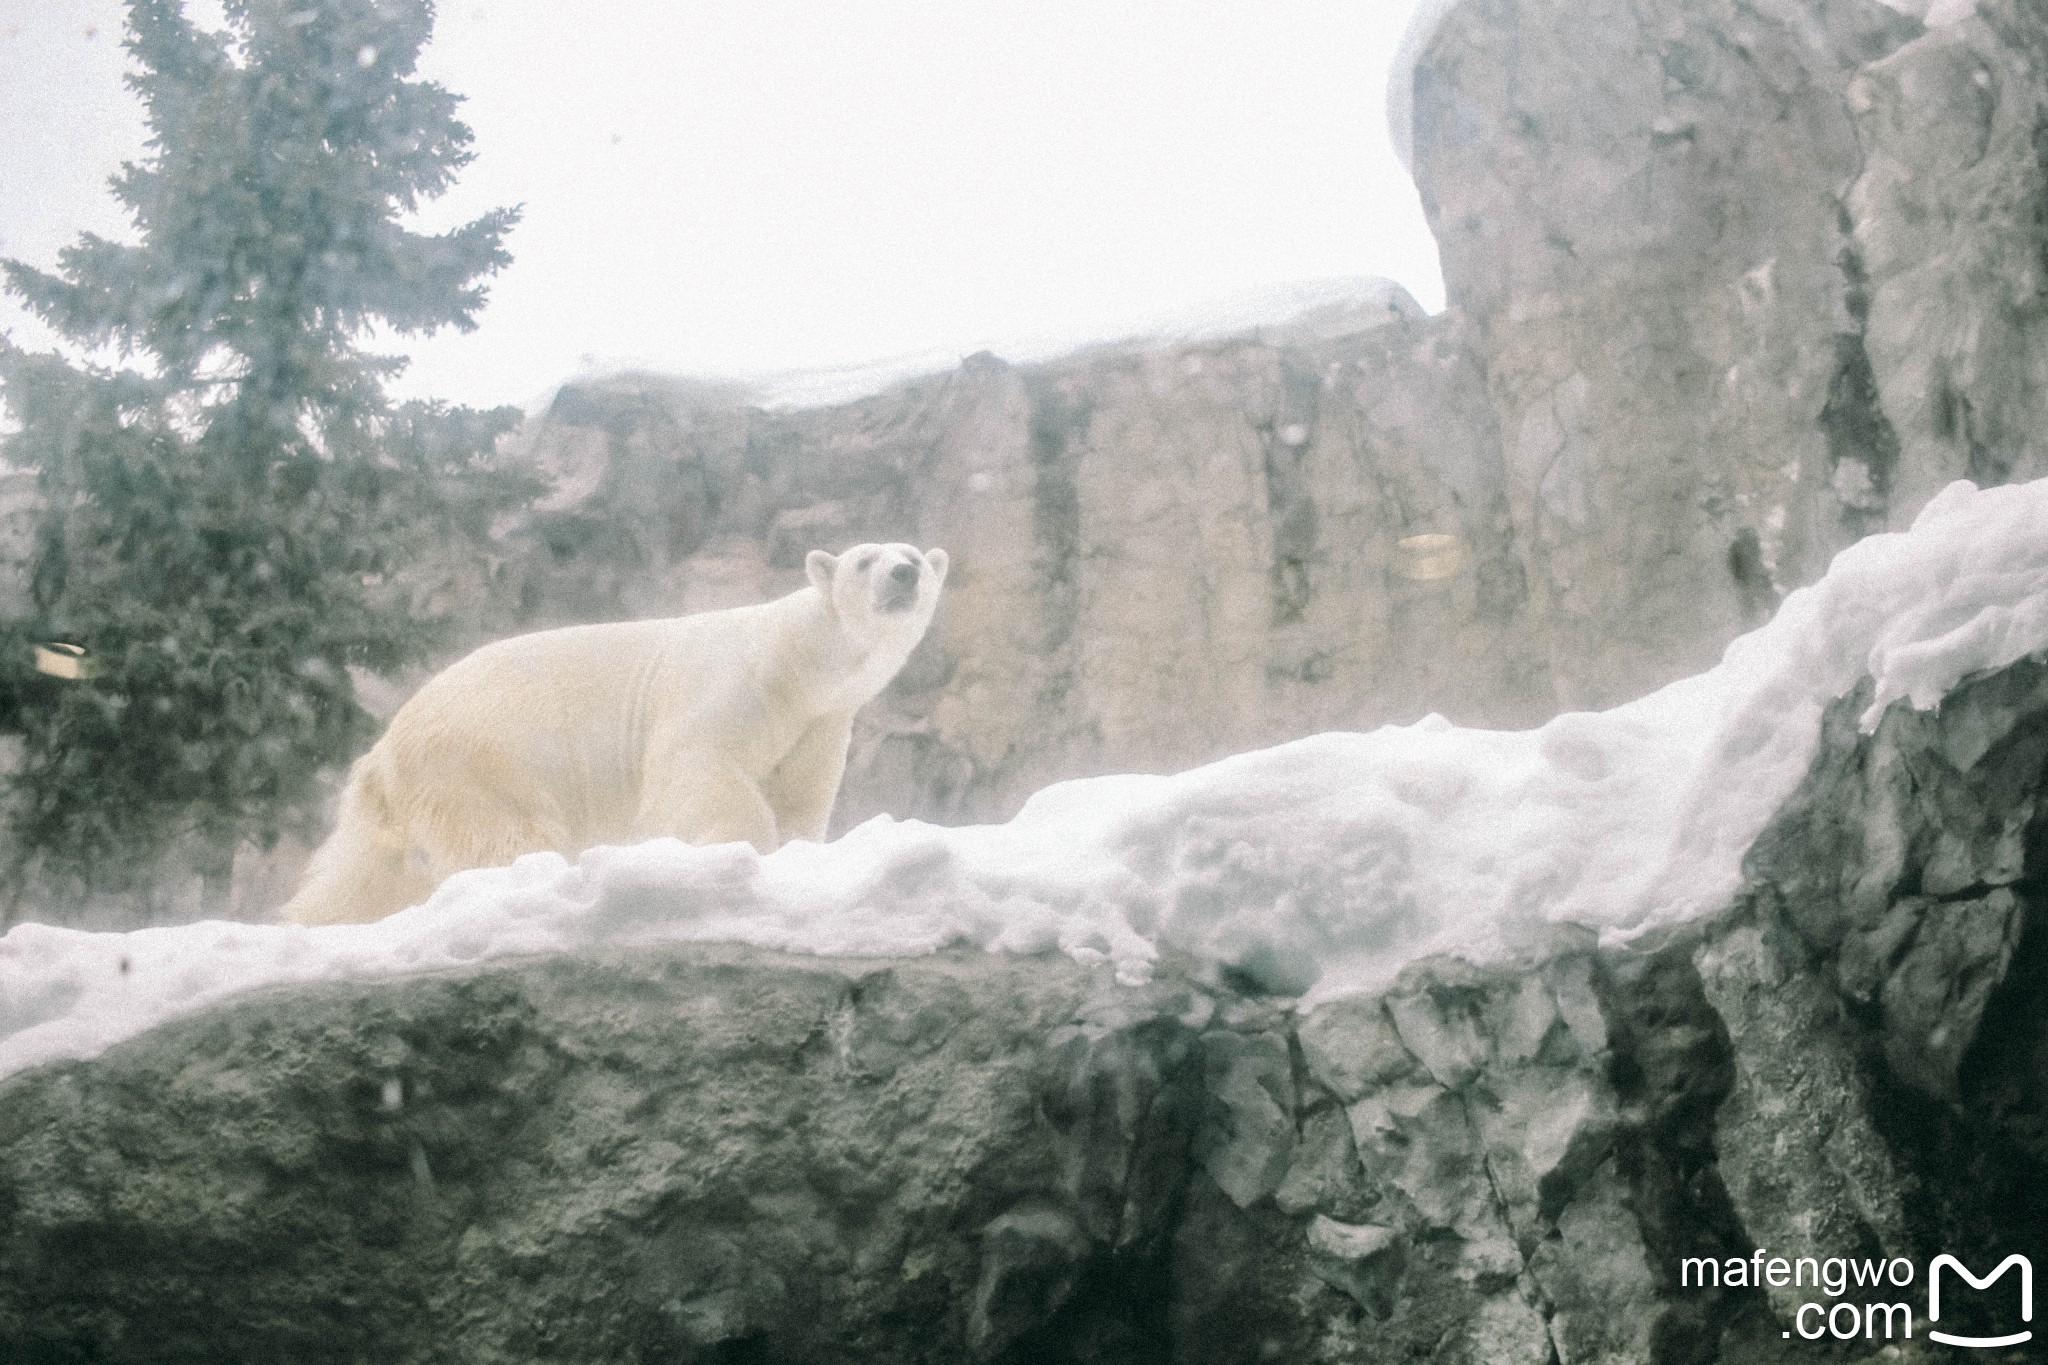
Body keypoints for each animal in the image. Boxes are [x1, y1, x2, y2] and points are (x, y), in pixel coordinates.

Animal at [282, 540, 950, 925]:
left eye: (915, 555)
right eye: (865, 559)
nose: (903, 575)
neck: (799, 661)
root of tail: (384, 748)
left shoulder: (820, 724)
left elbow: (800, 798)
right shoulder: (729, 689)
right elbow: (696, 770)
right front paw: (735, 851)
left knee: (367, 871)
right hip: (479, 761)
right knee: (505, 835)